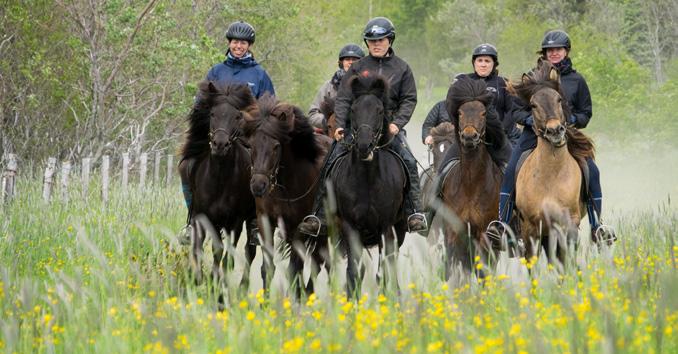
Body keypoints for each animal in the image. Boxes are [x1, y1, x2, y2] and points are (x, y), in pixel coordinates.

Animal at [178, 81, 258, 292]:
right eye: (213, 113)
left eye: (237, 116)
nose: (219, 144)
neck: (220, 179)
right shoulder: (202, 217)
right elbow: (199, 248)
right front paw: (196, 278)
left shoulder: (234, 222)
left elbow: (224, 253)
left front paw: (216, 283)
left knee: (249, 250)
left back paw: (242, 286)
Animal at [243, 94, 334, 298]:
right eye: (250, 145)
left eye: (276, 146)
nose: (258, 185)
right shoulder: (266, 222)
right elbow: (268, 268)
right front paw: (265, 302)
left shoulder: (299, 227)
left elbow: (294, 268)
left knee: (319, 262)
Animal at [330, 74, 410, 296]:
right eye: (353, 109)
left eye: (380, 110)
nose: (364, 146)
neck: (367, 180)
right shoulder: (350, 228)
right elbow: (353, 272)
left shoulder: (386, 228)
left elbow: (383, 273)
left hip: (399, 230)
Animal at [444, 76, 508, 278]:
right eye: (460, 112)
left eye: (483, 113)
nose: (469, 137)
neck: (471, 186)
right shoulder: (455, 233)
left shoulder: (485, 237)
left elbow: (483, 272)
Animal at [512, 60, 596, 268]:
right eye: (533, 105)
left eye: (559, 99)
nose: (555, 130)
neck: (551, 176)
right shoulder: (530, 229)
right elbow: (532, 264)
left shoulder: (569, 223)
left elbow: (567, 259)